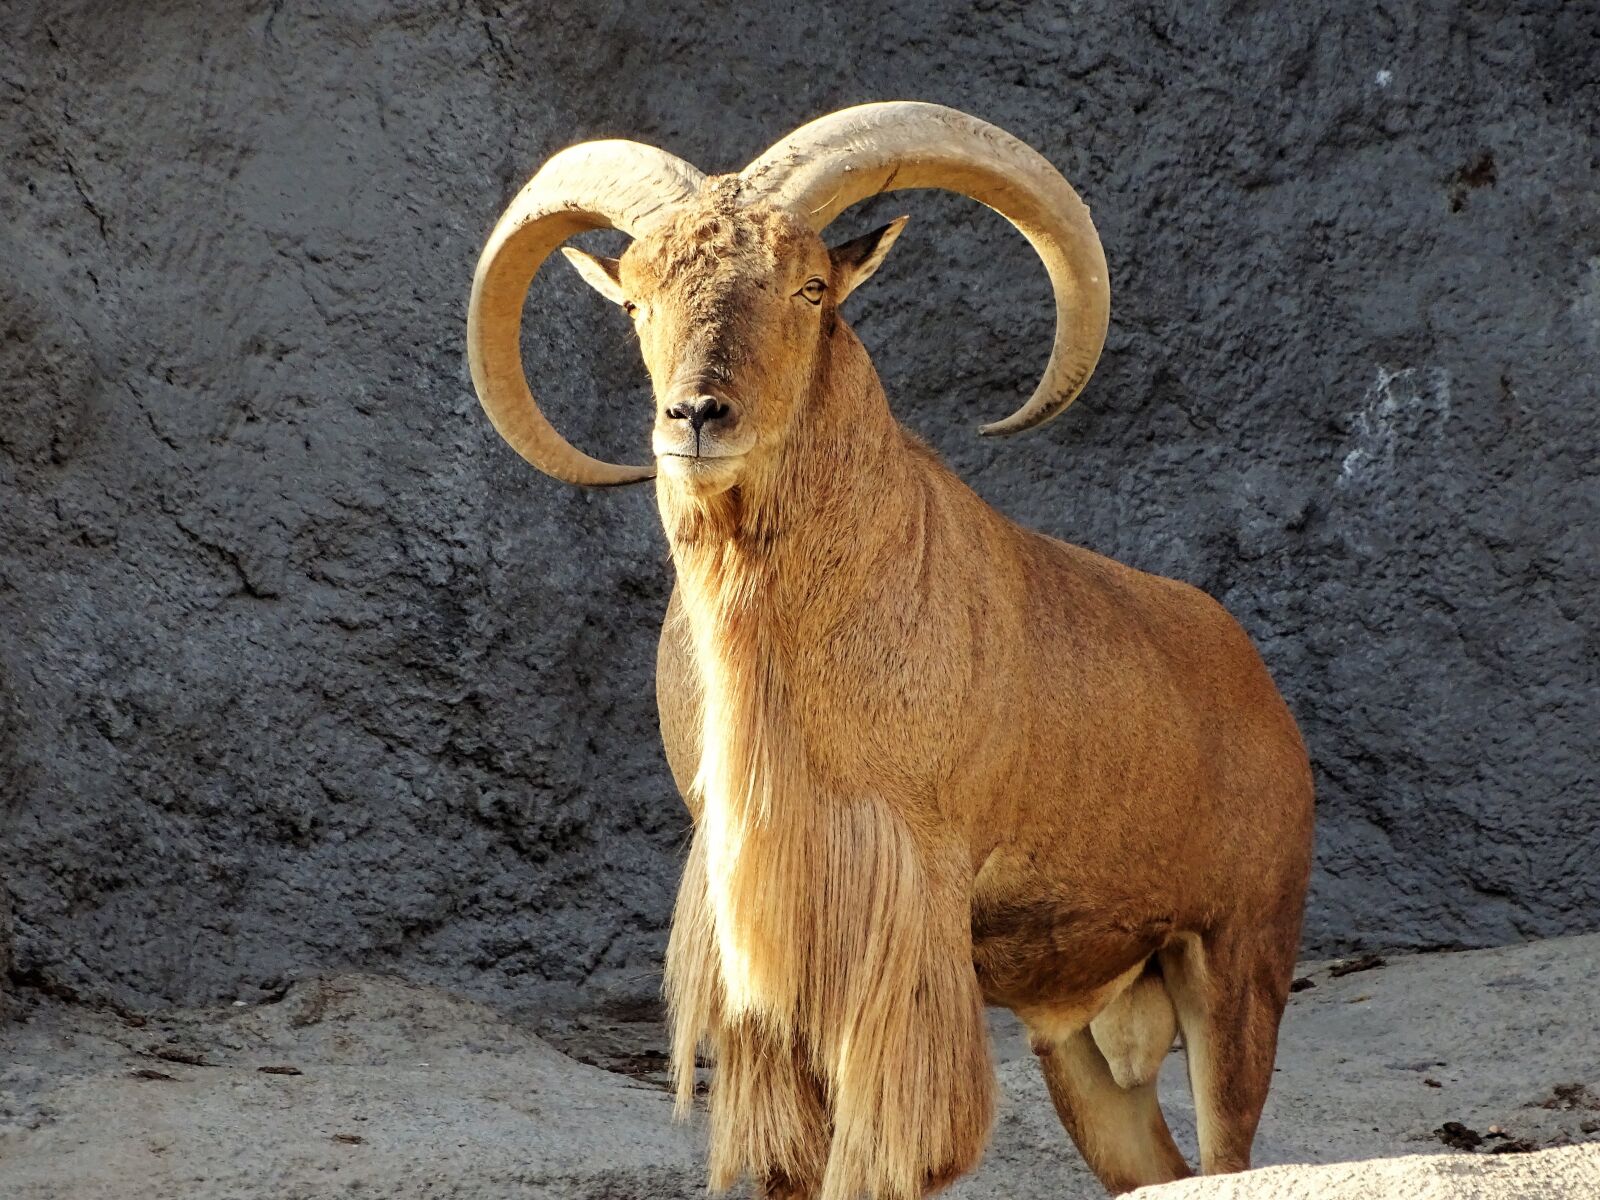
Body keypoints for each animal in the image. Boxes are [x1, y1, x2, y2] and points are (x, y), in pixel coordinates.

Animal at [468, 102, 1314, 1199]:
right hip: (1081, 1039)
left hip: (1238, 963)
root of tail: (1263, 694)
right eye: (638, 300)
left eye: (808, 287)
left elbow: (893, 1146)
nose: (695, 415)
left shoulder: (911, 908)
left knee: (1228, 1148)